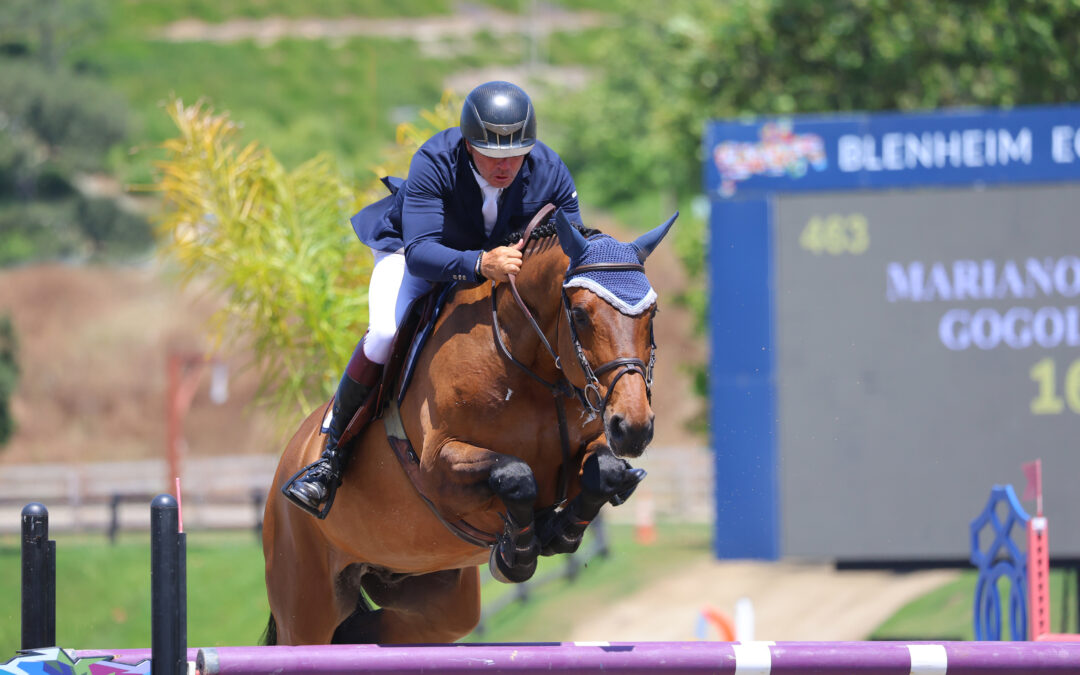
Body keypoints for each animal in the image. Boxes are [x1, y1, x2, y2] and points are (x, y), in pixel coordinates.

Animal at [260, 208, 673, 643]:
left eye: (652, 314)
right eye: (579, 314)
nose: (633, 427)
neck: (531, 368)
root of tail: (287, 463)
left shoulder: (589, 446)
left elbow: (604, 471)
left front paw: (560, 531)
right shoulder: (438, 468)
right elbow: (515, 475)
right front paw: (516, 554)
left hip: (433, 594)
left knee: (368, 631)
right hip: (305, 598)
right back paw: (318, 479)